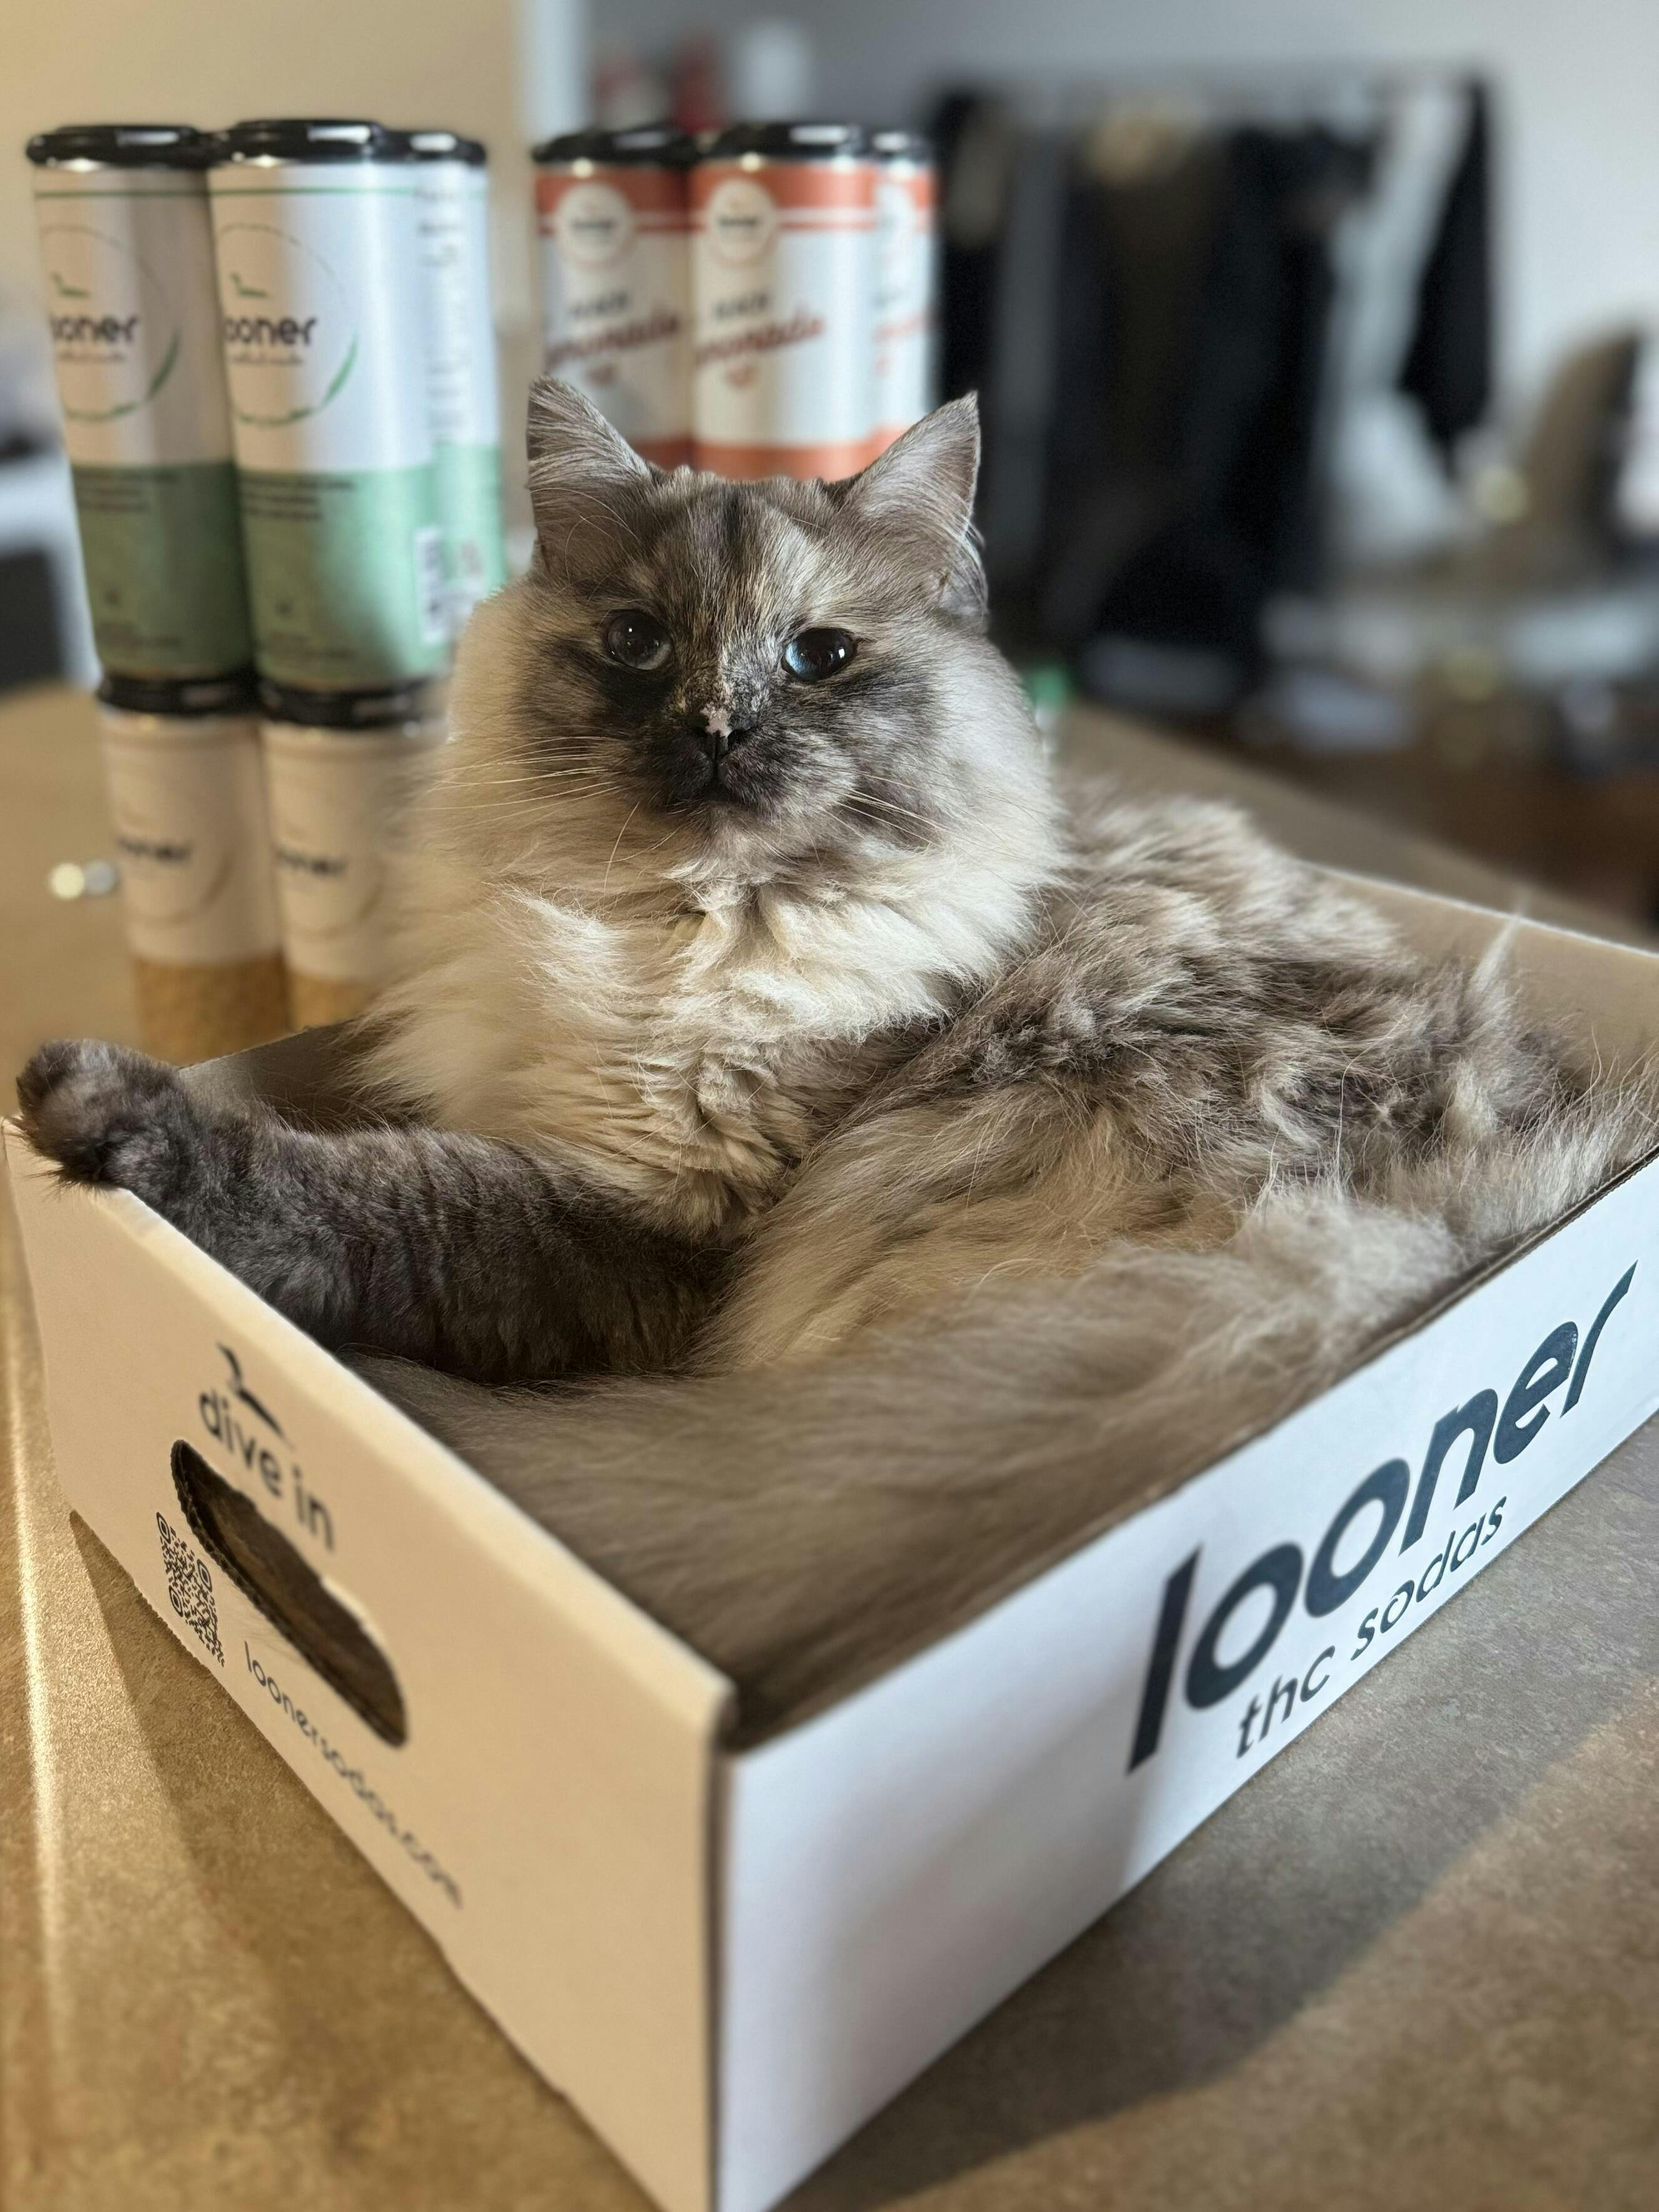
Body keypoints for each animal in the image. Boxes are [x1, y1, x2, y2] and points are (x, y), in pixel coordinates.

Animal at [17, 381, 1656, 1732]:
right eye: (637, 644)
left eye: (818, 658)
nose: (718, 728)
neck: (679, 922)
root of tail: (1464, 1208)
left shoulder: (653, 1224)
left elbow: (369, 1194)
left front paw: (93, 1112)